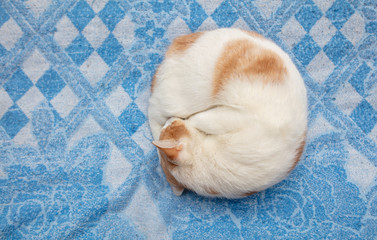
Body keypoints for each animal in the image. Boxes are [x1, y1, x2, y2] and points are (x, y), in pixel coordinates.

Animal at [147, 28, 306, 198]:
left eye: (171, 127)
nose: (169, 121)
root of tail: (175, 45)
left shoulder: (235, 117)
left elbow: (200, 119)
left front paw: (190, 122)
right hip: (175, 101)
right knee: (152, 112)